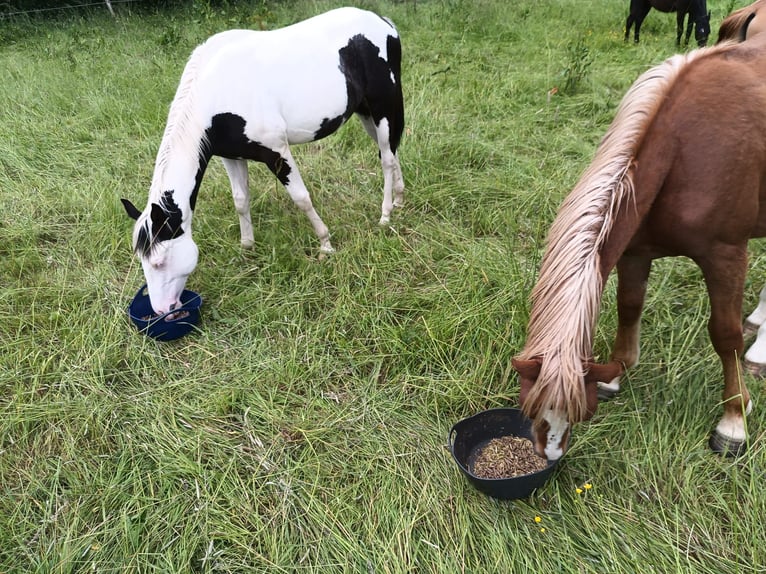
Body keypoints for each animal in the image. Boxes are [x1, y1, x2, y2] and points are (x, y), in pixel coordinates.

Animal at [121, 7, 405, 315]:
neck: (216, 92)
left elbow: (301, 198)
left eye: (159, 262)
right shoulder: (231, 156)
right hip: (365, 111)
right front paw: (247, 248)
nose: (163, 310)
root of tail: (382, 22)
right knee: (390, 152)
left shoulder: (276, 151)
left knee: (386, 159)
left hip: (383, 106)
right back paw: (400, 199)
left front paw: (325, 244)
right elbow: (240, 201)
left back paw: (385, 215)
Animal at [511, 34, 766, 462]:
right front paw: (617, 372)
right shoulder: (635, 251)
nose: (551, 455)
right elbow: (629, 306)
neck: (684, 150)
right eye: (530, 405)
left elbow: (725, 334)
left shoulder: (726, 255)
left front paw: (733, 420)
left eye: (581, 413)